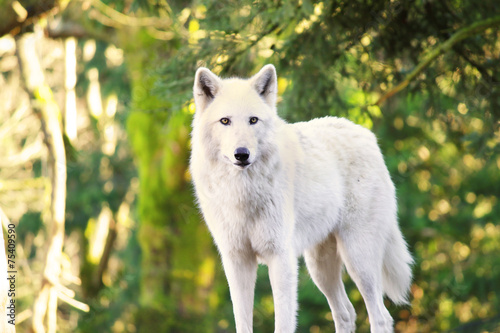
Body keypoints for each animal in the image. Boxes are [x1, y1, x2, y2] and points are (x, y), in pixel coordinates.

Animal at [189, 63, 412, 330]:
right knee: (346, 312)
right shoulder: (237, 260)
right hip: (320, 267)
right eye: (225, 121)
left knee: (380, 316)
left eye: (253, 120)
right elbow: (242, 323)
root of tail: (367, 135)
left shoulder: (281, 258)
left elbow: (283, 323)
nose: (241, 154)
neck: (242, 193)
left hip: (358, 258)